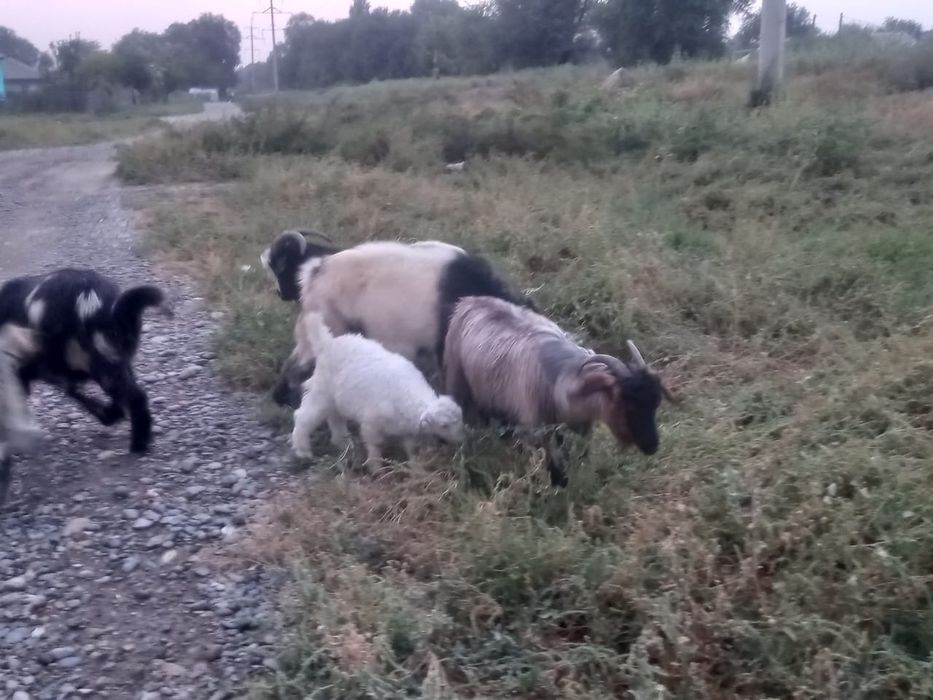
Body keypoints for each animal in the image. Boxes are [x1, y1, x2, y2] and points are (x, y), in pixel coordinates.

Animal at [291, 313, 464, 467]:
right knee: (303, 416)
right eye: (444, 425)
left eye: (459, 419)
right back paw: (303, 451)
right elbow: (375, 447)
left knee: (335, 418)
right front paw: (376, 469)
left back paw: (343, 443)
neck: (409, 397)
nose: (461, 440)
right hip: (321, 391)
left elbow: (411, 449)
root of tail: (327, 343)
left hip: (334, 398)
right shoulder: (371, 424)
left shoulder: (406, 432)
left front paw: (417, 469)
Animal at [443, 295, 672, 485]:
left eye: (655, 405)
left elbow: (581, 455)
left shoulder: (582, 426)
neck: (565, 377)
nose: (652, 446)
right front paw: (559, 486)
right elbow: (555, 465)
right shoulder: (541, 431)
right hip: (458, 380)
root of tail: (469, 300)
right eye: (628, 405)